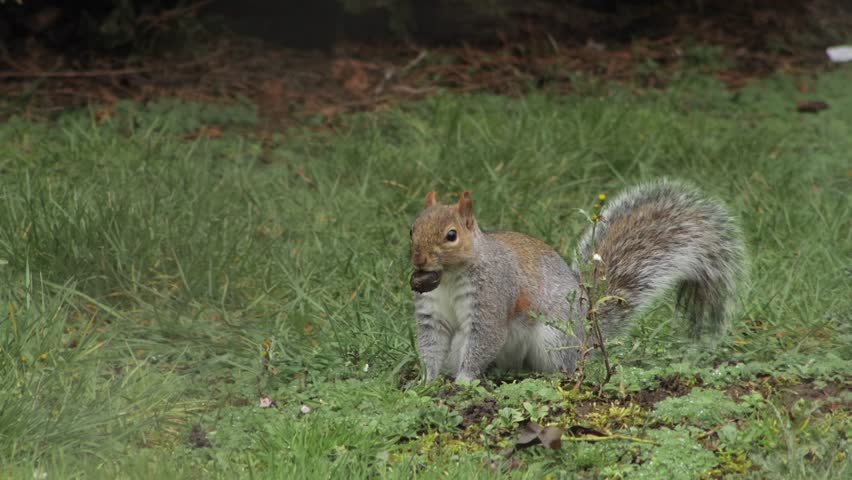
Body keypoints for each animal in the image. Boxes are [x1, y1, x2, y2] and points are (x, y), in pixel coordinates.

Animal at [408, 179, 747, 383]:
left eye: (451, 235)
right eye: (412, 229)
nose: (419, 260)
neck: (450, 277)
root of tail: (587, 339)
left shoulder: (491, 296)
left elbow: (484, 339)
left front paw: (463, 381)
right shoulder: (432, 313)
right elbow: (431, 344)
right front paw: (427, 381)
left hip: (553, 338)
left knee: (562, 369)